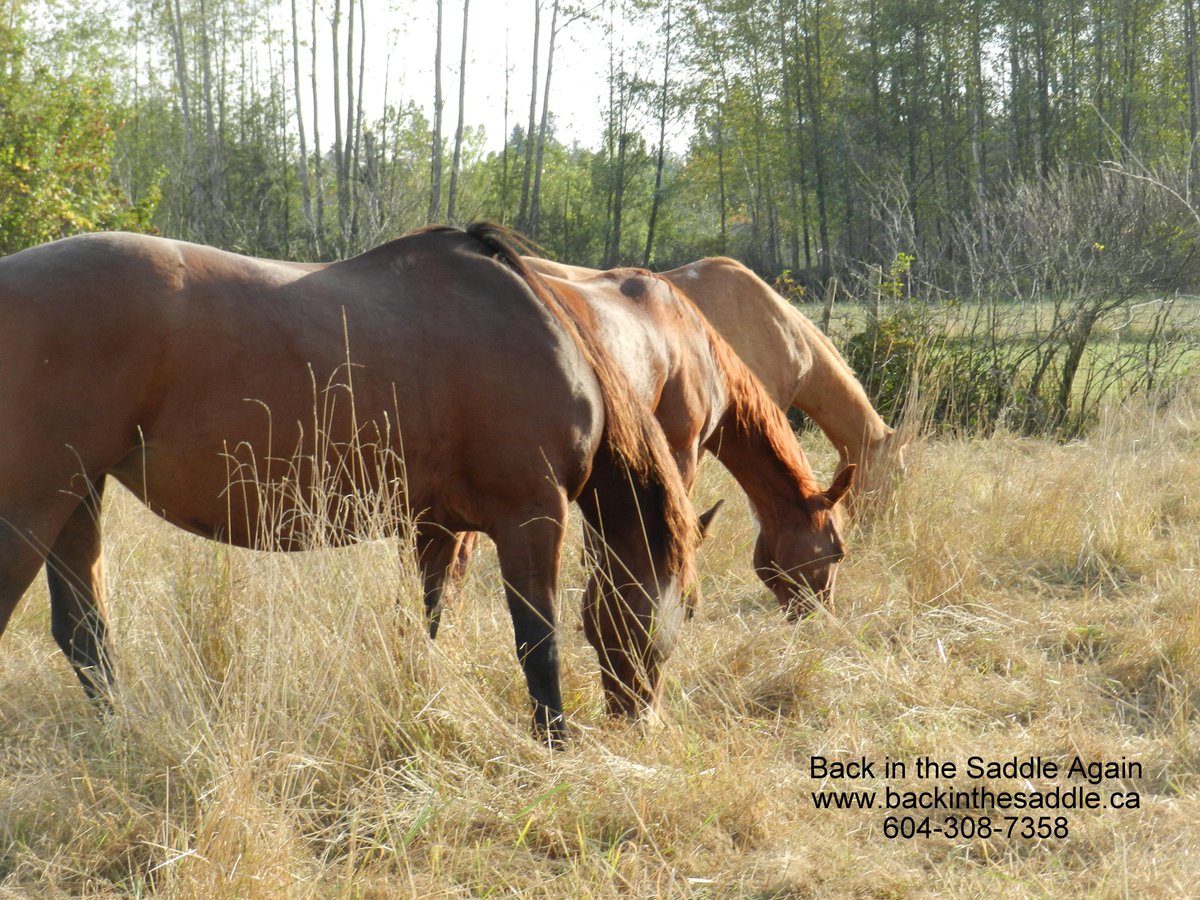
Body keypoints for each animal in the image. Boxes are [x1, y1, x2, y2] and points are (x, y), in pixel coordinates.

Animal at [0, 224, 698, 744]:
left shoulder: (435, 528)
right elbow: (538, 643)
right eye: (672, 618)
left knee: (84, 633)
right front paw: (554, 744)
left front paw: (418, 705)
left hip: (76, 497)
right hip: (34, 506)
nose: (642, 722)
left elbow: (421, 626)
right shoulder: (532, 515)